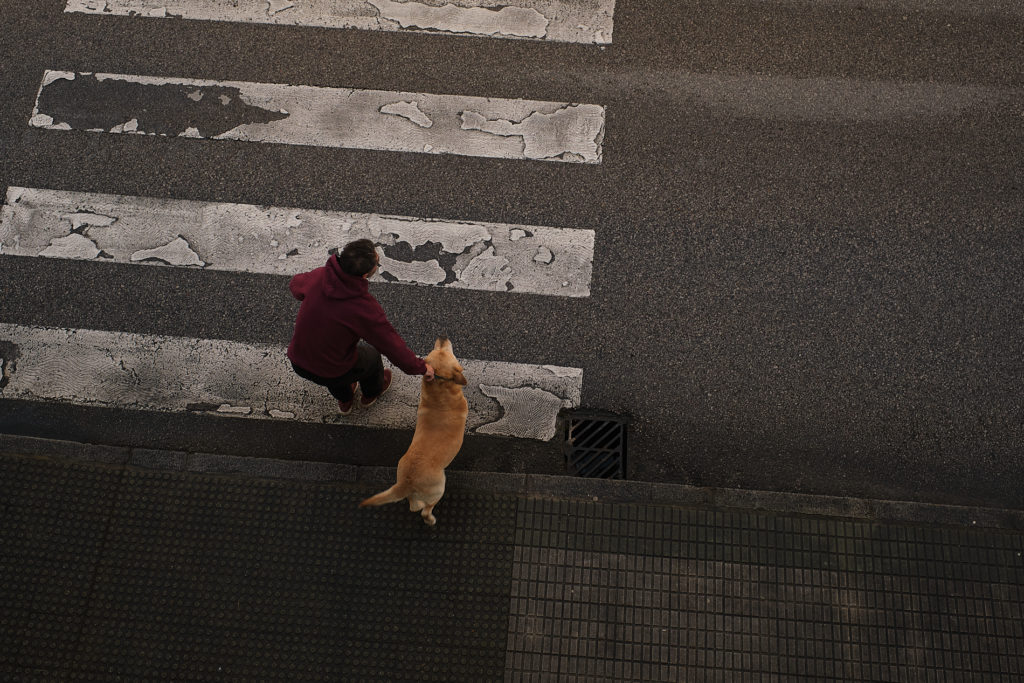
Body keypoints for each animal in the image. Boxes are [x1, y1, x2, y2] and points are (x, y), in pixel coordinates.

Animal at [360, 335, 468, 524]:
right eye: (445, 352)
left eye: (438, 348)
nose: (442, 336)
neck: (439, 392)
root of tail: (405, 483)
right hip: (439, 487)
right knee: (425, 510)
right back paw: (431, 519)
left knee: (413, 506)